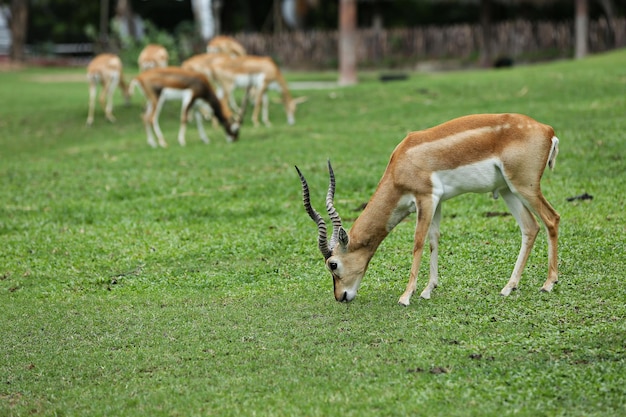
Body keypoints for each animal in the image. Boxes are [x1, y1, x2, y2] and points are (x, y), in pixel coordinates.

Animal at [294, 114, 560, 306]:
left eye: (333, 264)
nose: (340, 297)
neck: (401, 163)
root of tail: (548, 130)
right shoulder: (437, 201)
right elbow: (434, 239)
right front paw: (428, 289)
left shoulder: (426, 198)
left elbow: (418, 242)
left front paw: (406, 296)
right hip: (507, 190)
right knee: (530, 227)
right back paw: (508, 287)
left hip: (524, 186)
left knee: (551, 219)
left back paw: (548, 283)